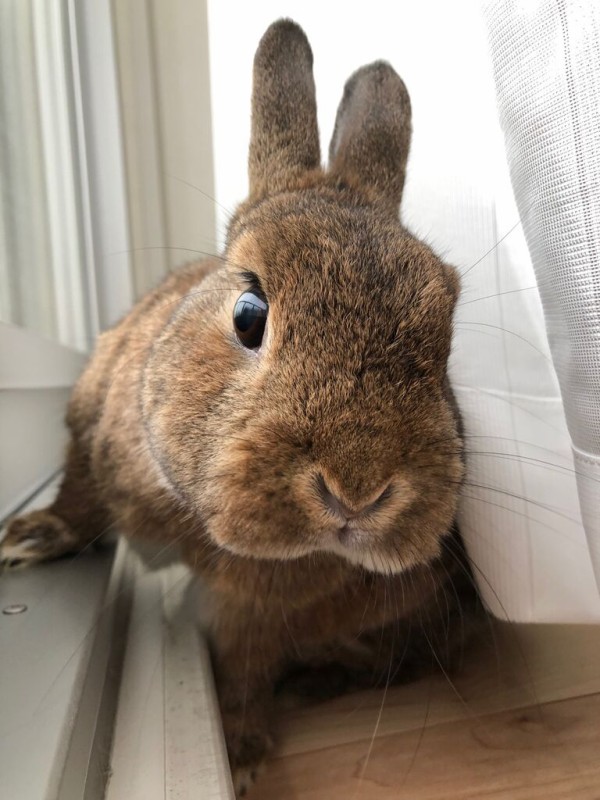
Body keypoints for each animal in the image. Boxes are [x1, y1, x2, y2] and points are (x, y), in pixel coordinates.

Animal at [1, 19, 484, 796]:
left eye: (444, 342)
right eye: (250, 314)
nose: (358, 489)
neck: (196, 518)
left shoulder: (258, 610)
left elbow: (244, 671)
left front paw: (242, 753)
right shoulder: (91, 426)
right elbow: (79, 489)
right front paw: (34, 538)